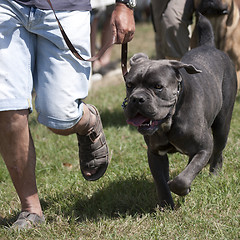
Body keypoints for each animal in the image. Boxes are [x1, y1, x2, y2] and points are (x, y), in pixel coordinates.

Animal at [123, 15, 237, 209]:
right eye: (129, 85)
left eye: (158, 86)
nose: (137, 99)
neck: (170, 120)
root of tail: (209, 46)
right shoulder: (155, 154)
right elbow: (161, 182)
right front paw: (166, 205)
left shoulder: (203, 148)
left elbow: (181, 179)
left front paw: (184, 189)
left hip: (222, 125)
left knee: (218, 151)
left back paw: (214, 173)